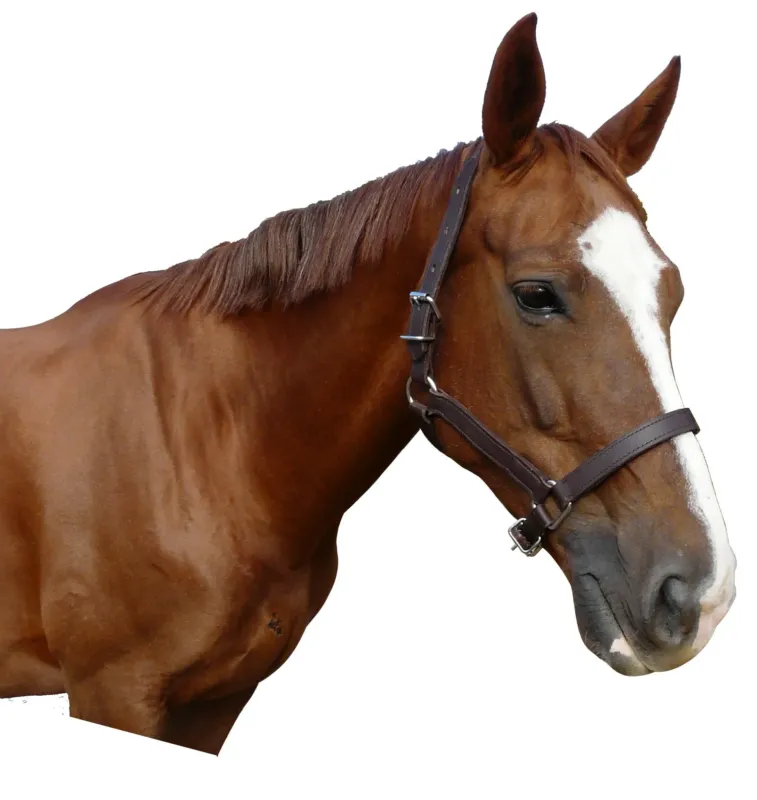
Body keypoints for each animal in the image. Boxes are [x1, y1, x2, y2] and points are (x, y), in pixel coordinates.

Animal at [0, 12, 736, 754]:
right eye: (536, 294)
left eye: (671, 293)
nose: (700, 593)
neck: (205, 443)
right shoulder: (113, 693)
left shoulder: (211, 704)